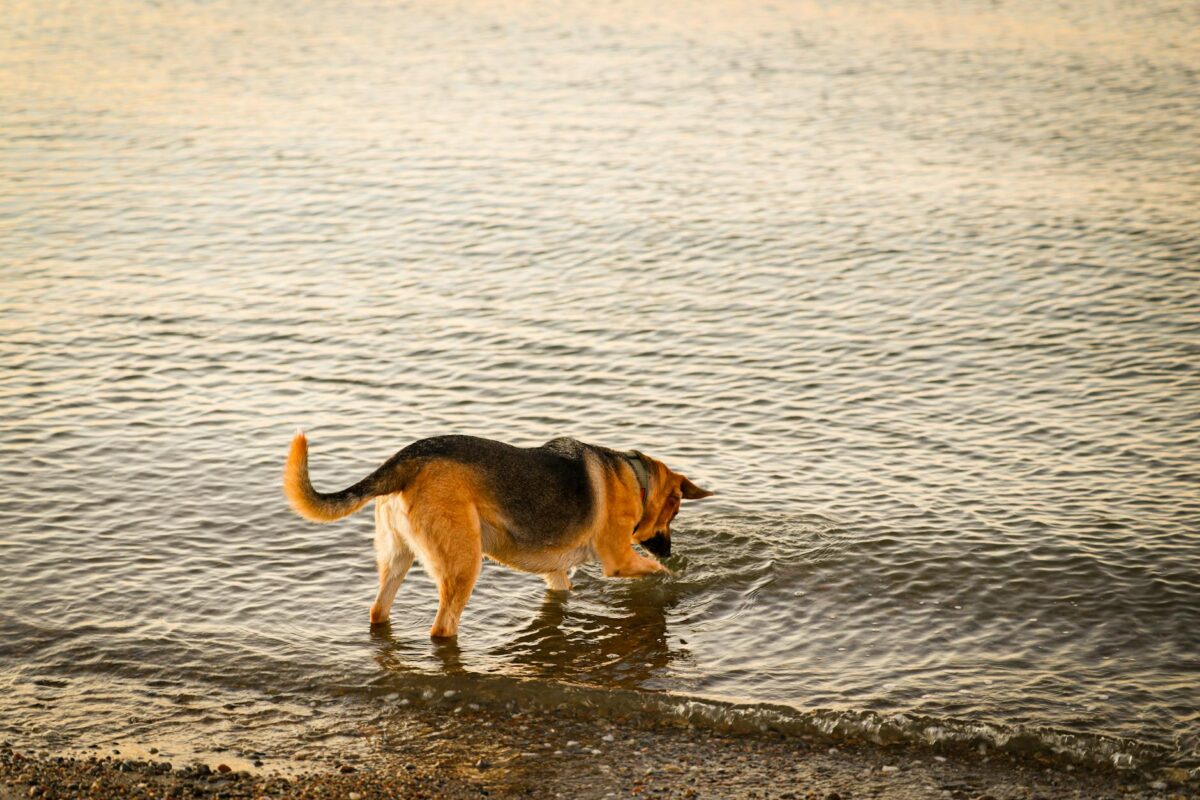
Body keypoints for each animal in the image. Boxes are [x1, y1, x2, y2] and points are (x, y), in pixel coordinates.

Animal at [280, 431, 710, 638]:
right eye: (674, 513)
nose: (669, 550)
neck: (635, 479)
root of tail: (407, 459)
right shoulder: (618, 561)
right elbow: (657, 573)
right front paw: (671, 581)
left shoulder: (556, 574)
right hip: (464, 564)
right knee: (442, 627)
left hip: (397, 559)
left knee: (378, 609)